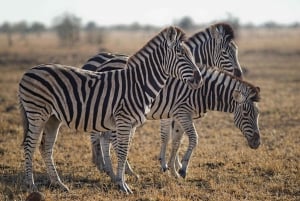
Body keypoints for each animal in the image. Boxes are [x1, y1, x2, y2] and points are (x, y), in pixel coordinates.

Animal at [17, 25, 203, 194]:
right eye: (180, 53)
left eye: (190, 54)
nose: (199, 79)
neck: (139, 84)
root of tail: (28, 72)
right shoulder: (124, 120)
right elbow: (121, 151)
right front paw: (123, 185)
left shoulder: (130, 123)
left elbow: (124, 150)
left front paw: (121, 181)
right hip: (37, 113)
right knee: (30, 145)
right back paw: (31, 185)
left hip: (53, 118)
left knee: (45, 147)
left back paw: (58, 184)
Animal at [85, 22, 245, 178]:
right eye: (224, 52)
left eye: (236, 50)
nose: (239, 76)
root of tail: (102, 63)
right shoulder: (176, 110)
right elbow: (173, 138)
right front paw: (172, 166)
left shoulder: (168, 112)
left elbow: (170, 136)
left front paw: (169, 164)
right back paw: (112, 167)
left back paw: (103, 164)